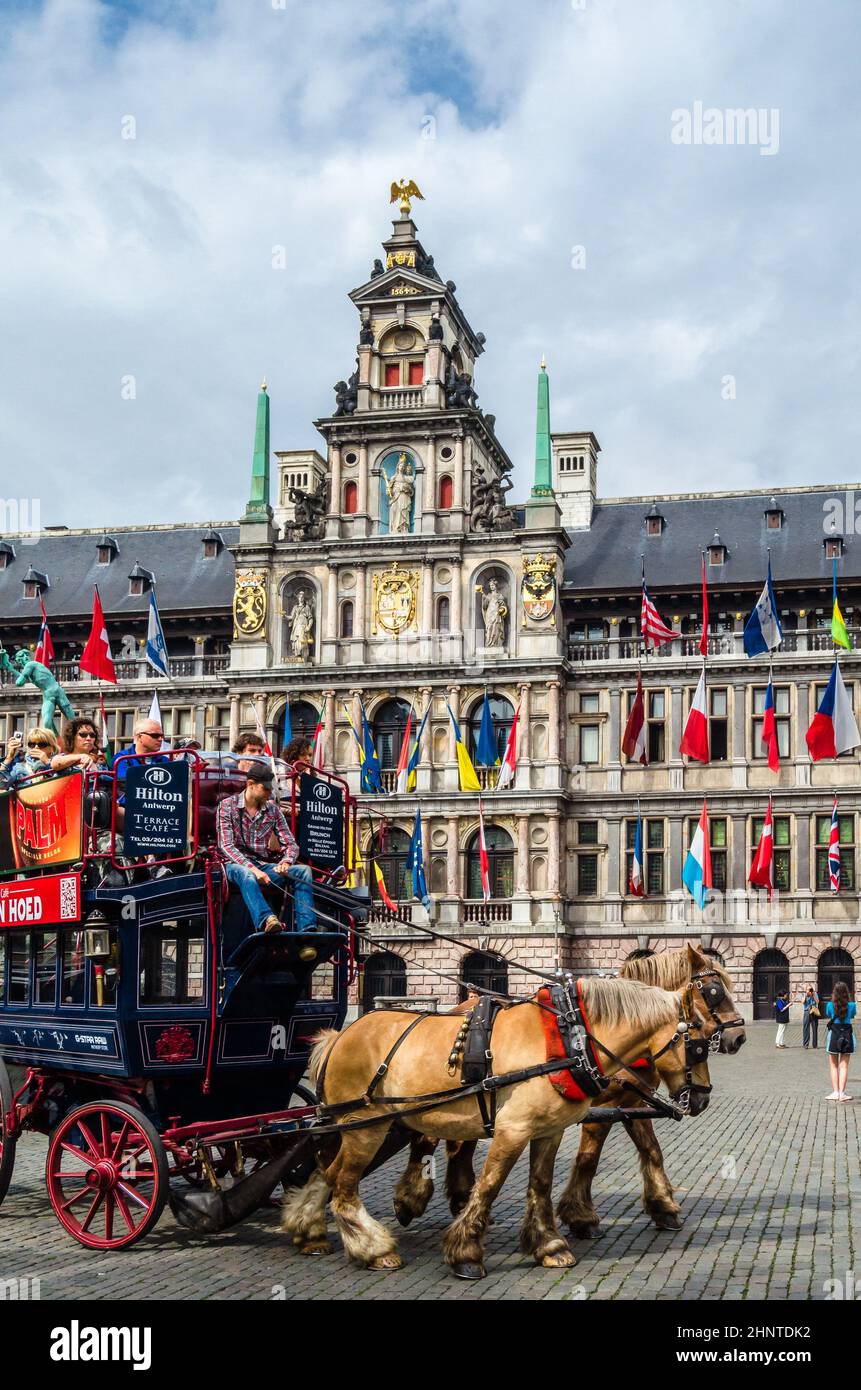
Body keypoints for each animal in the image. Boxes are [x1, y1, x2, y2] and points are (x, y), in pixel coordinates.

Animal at [287, 978, 701, 1278]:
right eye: (698, 1043)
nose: (700, 1099)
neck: (567, 1037)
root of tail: (338, 1036)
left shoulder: (548, 1130)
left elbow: (540, 1185)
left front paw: (549, 1245)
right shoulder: (512, 1130)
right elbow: (489, 1186)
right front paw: (465, 1253)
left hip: (351, 1124)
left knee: (326, 1171)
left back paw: (309, 1231)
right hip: (365, 1127)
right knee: (343, 1184)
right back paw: (374, 1249)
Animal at [395, 945, 745, 1228]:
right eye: (715, 990)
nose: (739, 1037)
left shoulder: (632, 1102)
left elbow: (651, 1150)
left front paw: (663, 1207)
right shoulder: (604, 1107)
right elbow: (589, 1157)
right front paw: (581, 1216)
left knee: (459, 1142)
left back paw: (458, 1198)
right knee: (428, 1136)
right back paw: (411, 1199)